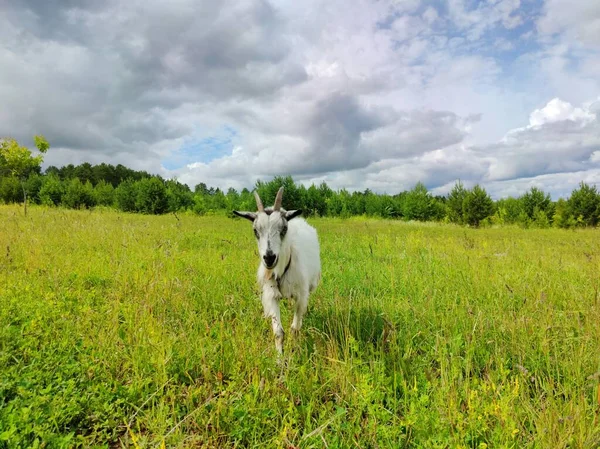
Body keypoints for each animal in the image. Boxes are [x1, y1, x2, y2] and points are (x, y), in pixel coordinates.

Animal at [232, 186, 322, 354]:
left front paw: (294, 351)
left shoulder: (301, 296)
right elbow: (279, 332)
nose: (269, 257)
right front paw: (279, 358)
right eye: (255, 230)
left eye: (284, 228)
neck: (282, 269)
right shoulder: (271, 295)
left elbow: (295, 328)